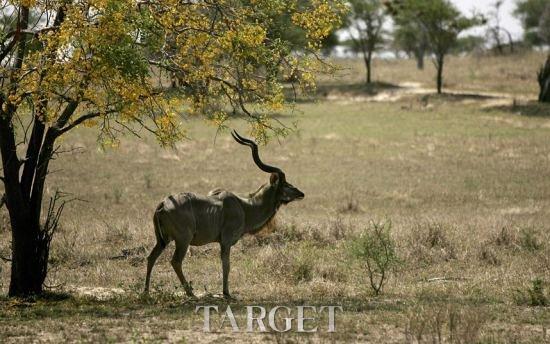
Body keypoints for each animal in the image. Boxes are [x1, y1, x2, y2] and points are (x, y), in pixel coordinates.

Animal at [144, 130, 304, 296]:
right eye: (285, 184)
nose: (301, 193)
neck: (245, 207)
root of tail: (163, 204)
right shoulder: (226, 241)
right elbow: (226, 265)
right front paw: (226, 292)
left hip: (163, 240)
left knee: (151, 258)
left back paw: (146, 292)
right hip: (183, 240)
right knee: (175, 261)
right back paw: (190, 293)